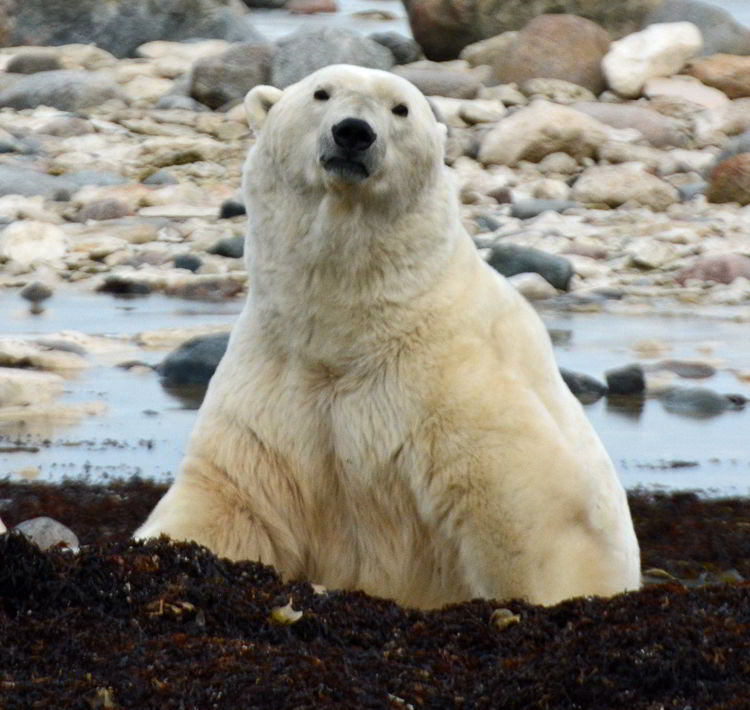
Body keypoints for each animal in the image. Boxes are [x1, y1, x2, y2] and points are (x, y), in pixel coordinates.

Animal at [135, 65, 640, 608]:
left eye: (401, 108)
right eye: (321, 92)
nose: (353, 132)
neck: (351, 333)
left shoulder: (454, 380)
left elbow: (532, 508)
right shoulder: (272, 395)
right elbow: (228, 497)